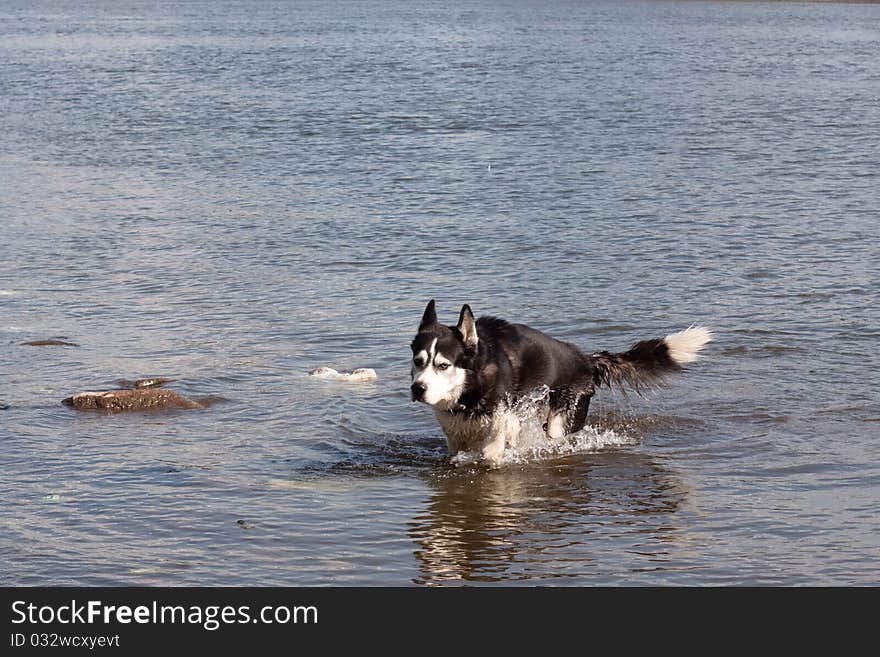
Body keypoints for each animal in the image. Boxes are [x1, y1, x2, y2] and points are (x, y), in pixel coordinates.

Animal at [410, 300, 712, 464]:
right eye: (418, 361)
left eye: (443, 365)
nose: (417, 389)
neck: (470, 392)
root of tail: (585, 360)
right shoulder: (455, 436)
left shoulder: (505, 417)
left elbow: (494, 449)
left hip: (561, 418)